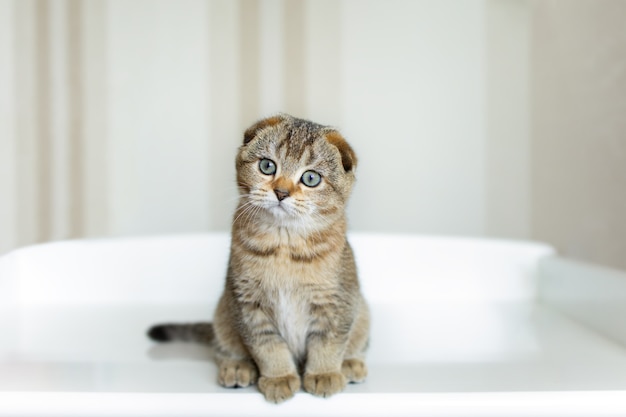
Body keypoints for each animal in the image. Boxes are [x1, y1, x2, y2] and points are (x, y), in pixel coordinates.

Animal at [147, 114, 368, 404]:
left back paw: (351, 363)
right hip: (223, 313)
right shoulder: (247, 302)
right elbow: (267, 346)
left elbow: (328, 341)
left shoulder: (337, 300)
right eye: (267, 165)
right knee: (222, 348)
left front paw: (323, 374)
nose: (281, 192)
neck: (285, 246)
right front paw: (279, 377)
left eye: (310, 178)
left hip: (363, 311)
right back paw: (236, 366)